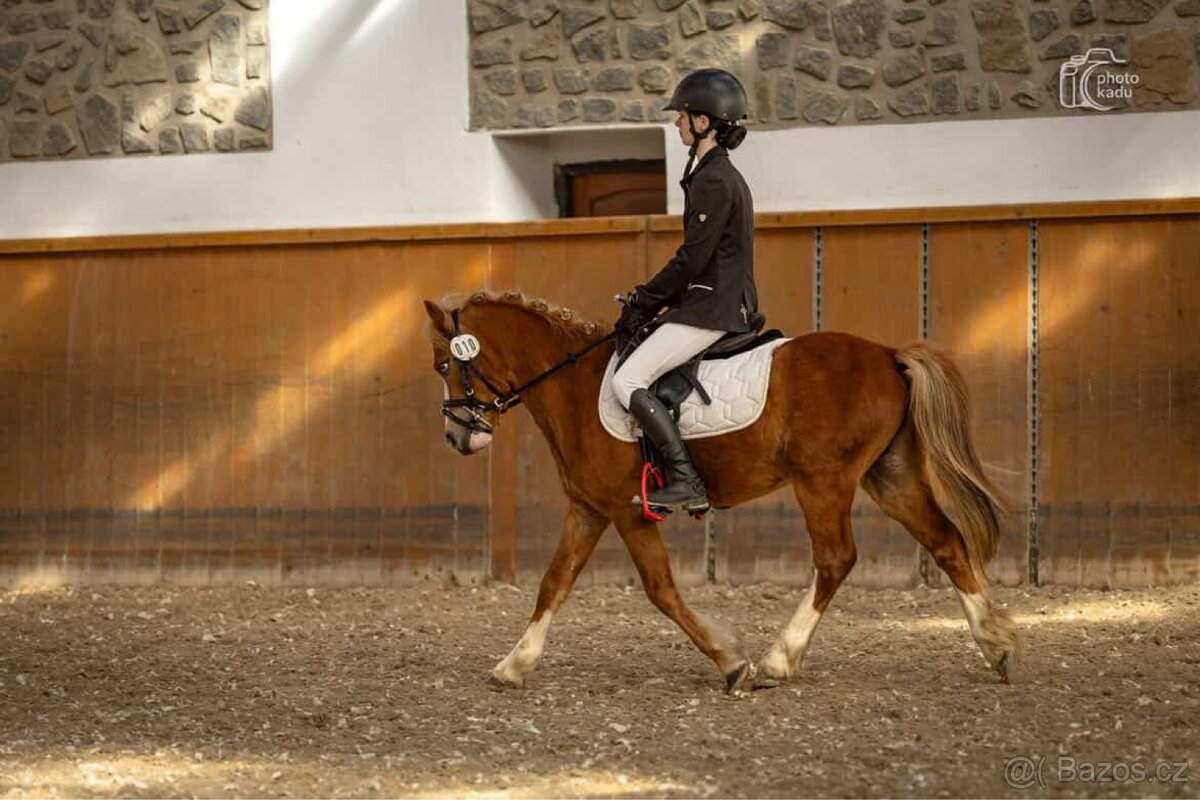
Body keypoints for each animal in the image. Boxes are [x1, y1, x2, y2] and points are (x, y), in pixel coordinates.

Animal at [422, 289, 1020, 693]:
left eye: (445, 363)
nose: (457, 436)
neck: (573, 385)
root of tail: (888, 355)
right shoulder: (588, 509)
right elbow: (553, 584)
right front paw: (514, 664)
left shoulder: (628, 510)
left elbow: (660, 590)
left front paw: (731, 662)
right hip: (890, 476)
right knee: (946, 542)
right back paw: (995, 644)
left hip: (823, 481)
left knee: (836, 558)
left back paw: (779, 659)